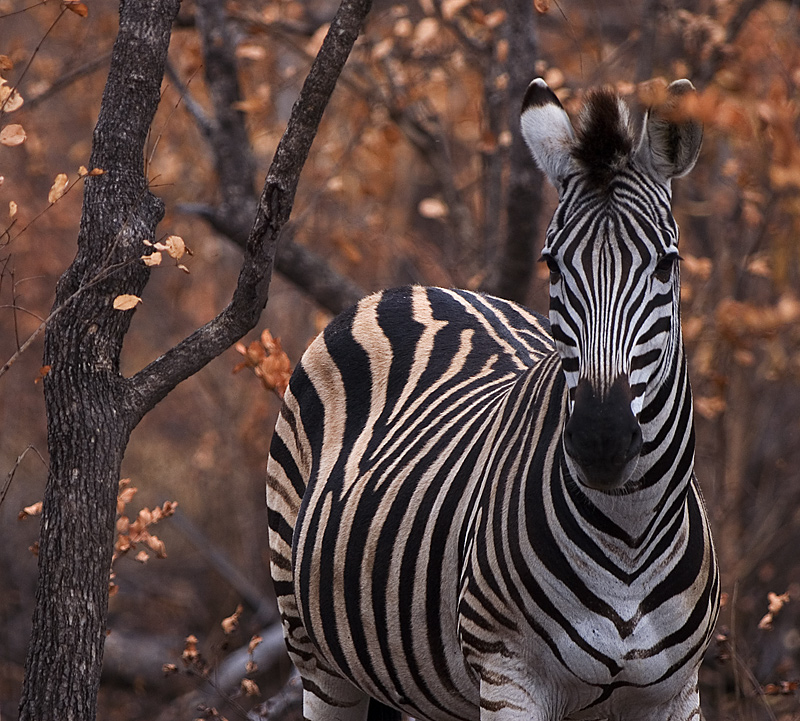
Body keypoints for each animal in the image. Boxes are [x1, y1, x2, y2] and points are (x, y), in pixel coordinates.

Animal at [268, 79, 720, 720]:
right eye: (551, 264)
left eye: (667, 263)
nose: (601, 440)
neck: (628, 534)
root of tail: (417, 289)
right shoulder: (509, 679)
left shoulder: (674, 692)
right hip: (315, 654)